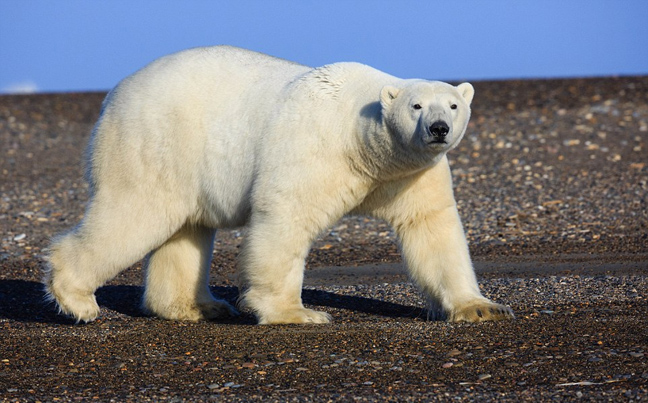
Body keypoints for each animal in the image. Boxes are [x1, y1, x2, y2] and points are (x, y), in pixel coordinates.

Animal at [45, 46, 512, 326]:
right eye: (416, 105)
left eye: (453, 104)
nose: (438, 128)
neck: (364, 144)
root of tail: (115, 94)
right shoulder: (315, 149)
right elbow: (287, 216)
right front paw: (297, 313)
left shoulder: (408, 174)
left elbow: (432, 229)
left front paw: (481, 308)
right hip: (155, 143)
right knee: (135, 212)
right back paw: (78, 299)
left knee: (186, 229)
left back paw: (197, 306)